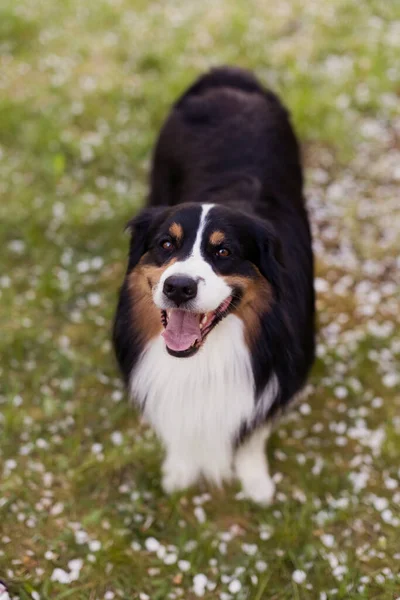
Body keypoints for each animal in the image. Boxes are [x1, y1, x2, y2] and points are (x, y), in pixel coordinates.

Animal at [112, 67, 316, 506]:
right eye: (166, 244)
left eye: (224, 252)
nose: (179, 287)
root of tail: (228, 75)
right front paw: (180, 469)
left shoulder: (278, 372)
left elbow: (254, 432)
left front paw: (255, 481)